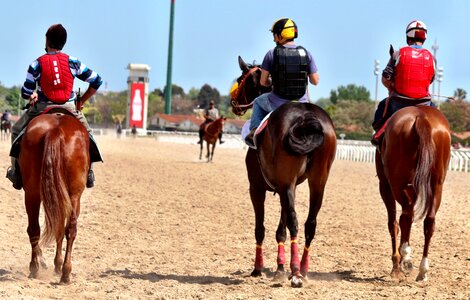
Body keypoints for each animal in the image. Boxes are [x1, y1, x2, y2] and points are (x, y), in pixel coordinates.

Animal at [18, 109, 90, 284]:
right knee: (69, 229)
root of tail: (55, 130)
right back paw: (64, 272)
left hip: (32, 192)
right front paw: (57, 264)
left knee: (35, 228)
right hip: (74, 195)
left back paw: (36, 268)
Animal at [232, 56, 338, 288]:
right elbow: (281, 229)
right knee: (309, 224)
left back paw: (296, 274)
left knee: (295, 222)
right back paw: (302, 270)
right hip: (318, 182)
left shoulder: (258, 188)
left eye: (240, 79)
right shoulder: (285, 187)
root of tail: (307, 117)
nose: (234, 103)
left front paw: (258, 268)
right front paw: (280, 268)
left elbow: (261, 228)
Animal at [374, 105, 452, 282]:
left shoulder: (385, 185)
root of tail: (421, 116)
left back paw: (404, 259)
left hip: (398, 183)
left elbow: (393, 224)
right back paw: (423, 270)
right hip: (437, 185)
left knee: (405, 216)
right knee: (429, 221)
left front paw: (397, 265)